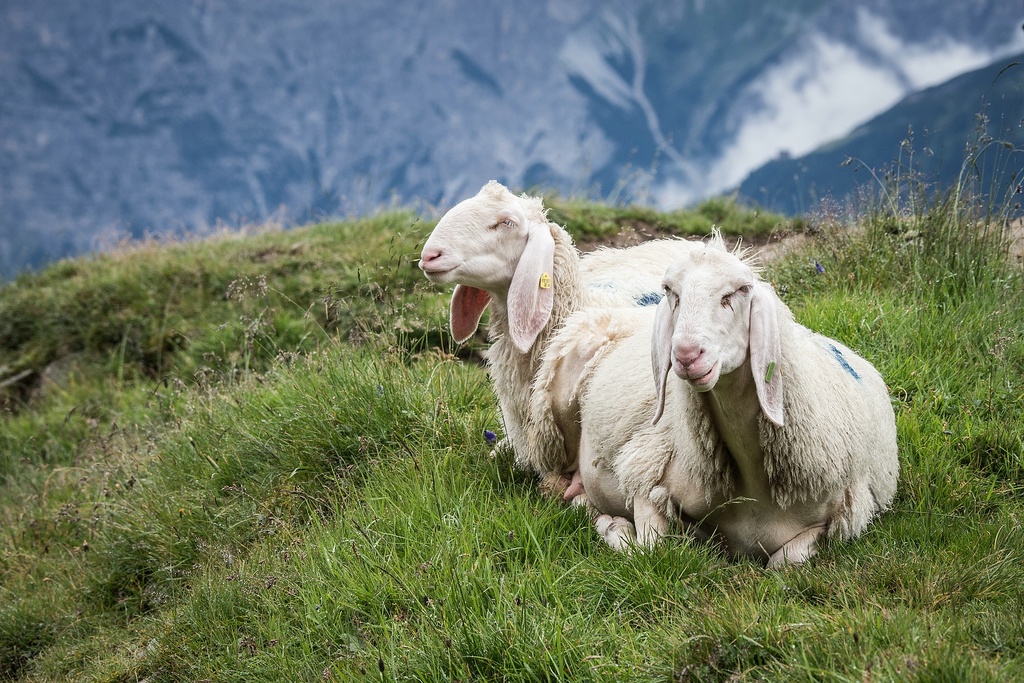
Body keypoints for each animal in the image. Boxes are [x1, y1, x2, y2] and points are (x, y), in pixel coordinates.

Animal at [540, 232, 901, 565]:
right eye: (671, 291)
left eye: (739, 291)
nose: (686, 355)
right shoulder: (647, 469)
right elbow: (649, 548)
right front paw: (614, 525)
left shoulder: (842, 518)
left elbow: (787, 561)